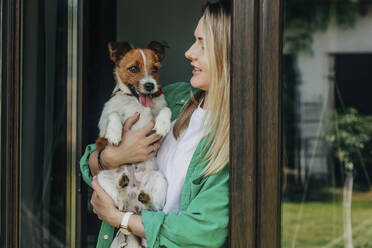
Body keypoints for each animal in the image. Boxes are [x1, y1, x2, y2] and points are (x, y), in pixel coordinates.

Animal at [96, 41, 171, 248]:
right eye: (133, 69)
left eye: (155, 69)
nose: (150, 85)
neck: (134, 100)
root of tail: (133, 205)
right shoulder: (102, 127)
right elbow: (113, 115)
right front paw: (115, 133)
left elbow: (166, 110)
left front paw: (163, 124)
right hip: (102, 178)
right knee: (119, 206)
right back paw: (122, 187)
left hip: (159, 181)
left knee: (151, 209)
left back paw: (144, 198)